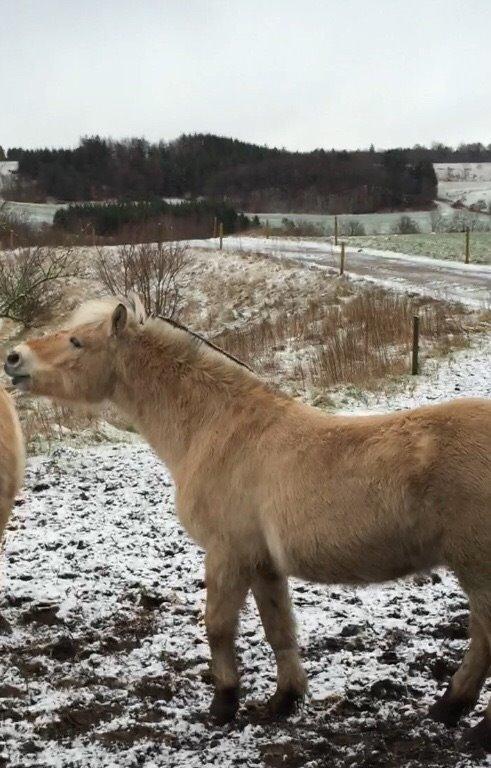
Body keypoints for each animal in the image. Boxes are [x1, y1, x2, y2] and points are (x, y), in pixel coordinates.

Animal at [4, 298, 491, 752]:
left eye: (76, 342)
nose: (13, 358)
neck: (219, 429)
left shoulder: (228, 554)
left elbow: (218, 627)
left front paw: (224, 704)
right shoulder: (263, 563)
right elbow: (280, 629)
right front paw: (284, 701)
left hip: (478, 570)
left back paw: (467, 721)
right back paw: (449, 711)